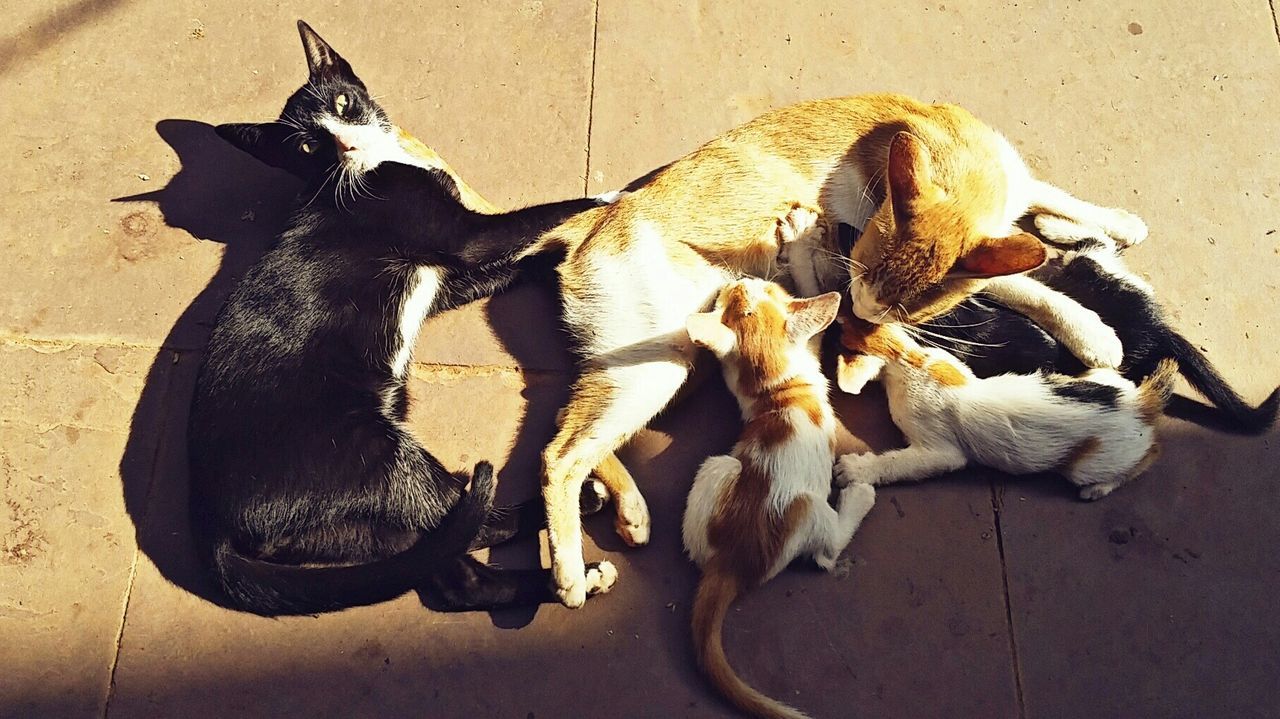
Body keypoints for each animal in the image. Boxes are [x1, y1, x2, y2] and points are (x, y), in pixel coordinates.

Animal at [186, 23, 619, 616]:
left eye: (342, 103)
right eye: (308, 146)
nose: (346, 143)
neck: (370, 169)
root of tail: (212, 527)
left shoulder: (448, 277)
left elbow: (517, 258)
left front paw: (556, 262)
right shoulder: (466, 237)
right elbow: (541, 215)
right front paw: (612, 195)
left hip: (357, 529)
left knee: (453, 571)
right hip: (377, 455)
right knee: (466, 518)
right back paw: (581, 537)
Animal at [680, 278, 880, 716]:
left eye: (743, 297)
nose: (739, 280)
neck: (780, 392)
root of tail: (731, 562)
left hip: (718, 467)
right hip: (808, 509)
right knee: (827, 552)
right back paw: (859, 498)